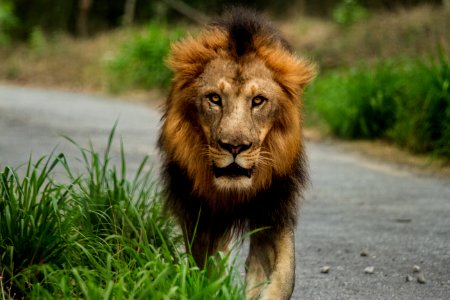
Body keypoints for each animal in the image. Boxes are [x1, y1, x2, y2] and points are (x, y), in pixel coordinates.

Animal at [160, 8, 314, 298]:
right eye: (214, 98)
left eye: (258, 101)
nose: (234, 146)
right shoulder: (202, 217)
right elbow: (209, 271)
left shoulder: (273, 209)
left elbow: (282, 277)